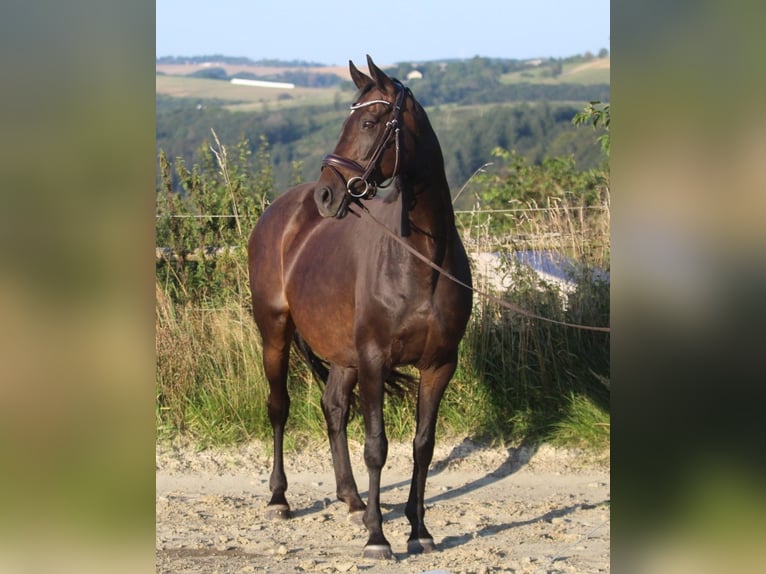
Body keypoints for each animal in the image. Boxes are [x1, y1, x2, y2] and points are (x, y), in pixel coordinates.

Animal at [248, 55, 474, 564]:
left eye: (369, 122)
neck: (421, 261)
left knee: (333, 407)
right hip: (275, 333)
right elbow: (377, 446)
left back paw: (351, 500)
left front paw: (418, 530)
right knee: (279, 406)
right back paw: (279, 499)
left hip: (342, 353)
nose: (327, 196)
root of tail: (280, 211)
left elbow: (423, 446)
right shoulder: (374, 358)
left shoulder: (439, 365)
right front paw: (378, 537)